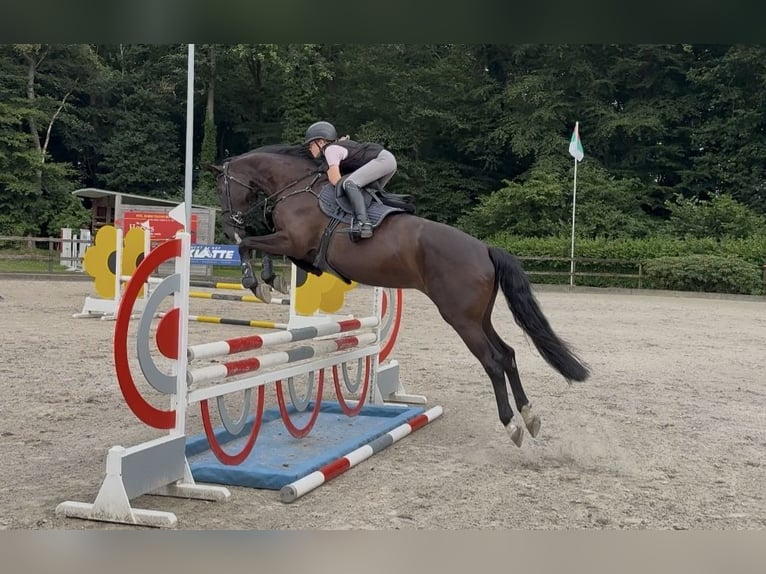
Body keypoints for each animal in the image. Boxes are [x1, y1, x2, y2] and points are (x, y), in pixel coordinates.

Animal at [204, 145, 590, 447]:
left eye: (221, 187)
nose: (227, 223)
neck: (297, 188)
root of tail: (485, 249)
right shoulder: (301, 254)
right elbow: (258, 245)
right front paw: (270, 281)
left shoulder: (292, 241)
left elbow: (249, 243)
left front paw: (258, 281)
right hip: (479, 316)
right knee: (507, 354)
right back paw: (530, 416)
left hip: (460, 318)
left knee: (493, 361)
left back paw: (512, 424)